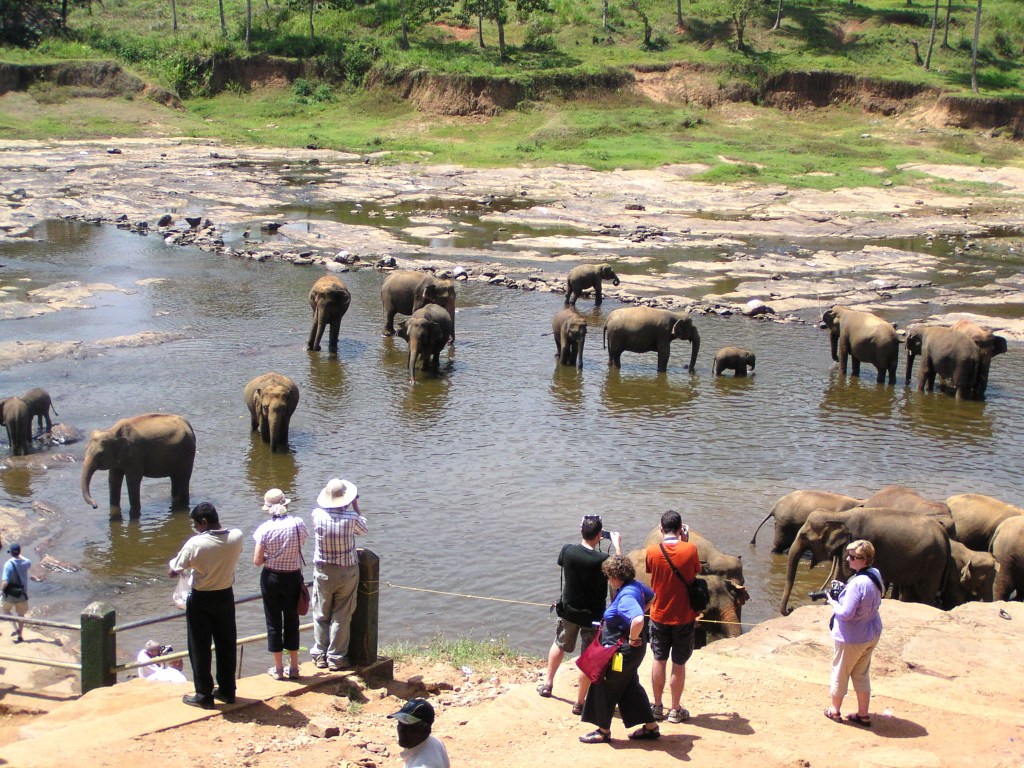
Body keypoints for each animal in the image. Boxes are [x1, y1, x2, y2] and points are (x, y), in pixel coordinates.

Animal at [780, 507, 950, 615]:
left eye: (804, 536)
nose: (790, 609)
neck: (838, 515)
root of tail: (945, 535)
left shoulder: (854, 542)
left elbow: (842, 575)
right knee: (909, 592)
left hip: (933, 562)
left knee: (926, 594)